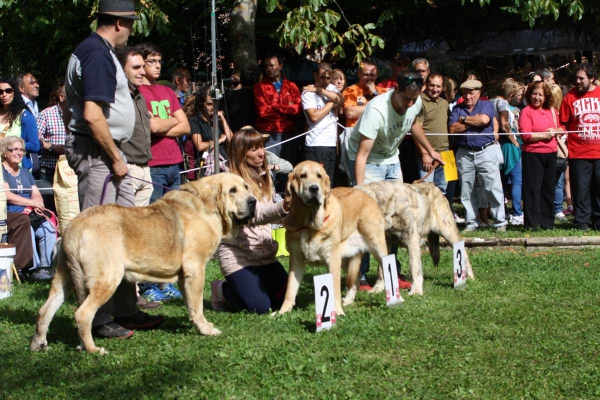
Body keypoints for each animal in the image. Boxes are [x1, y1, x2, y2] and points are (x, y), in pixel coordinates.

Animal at [30, 173, 255, 354]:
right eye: (232, 191)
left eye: (246, 186)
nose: (253, 201)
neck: (208, 205)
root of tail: (74, 227)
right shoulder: (196, 270)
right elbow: (198, 306)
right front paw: (206, 330)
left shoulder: (184, 278)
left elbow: (191, 306)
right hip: (107, 279)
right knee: (82, 314)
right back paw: (93, 349)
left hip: (64, 278)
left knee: (44, 311)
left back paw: (39, 344)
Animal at [278, 162, 392, 316]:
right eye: (302, 176)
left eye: (319, 176)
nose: (314, 188)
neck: (309, 224)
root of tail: (366, 195)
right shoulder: (296, 261)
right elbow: (290, 290)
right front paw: (282, 312)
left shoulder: (332, 259)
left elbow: (334, 289)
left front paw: (337, 312)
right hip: (344, 258)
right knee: (356, 275)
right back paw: (349, 300)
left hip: (377, 247)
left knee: (386, 269)